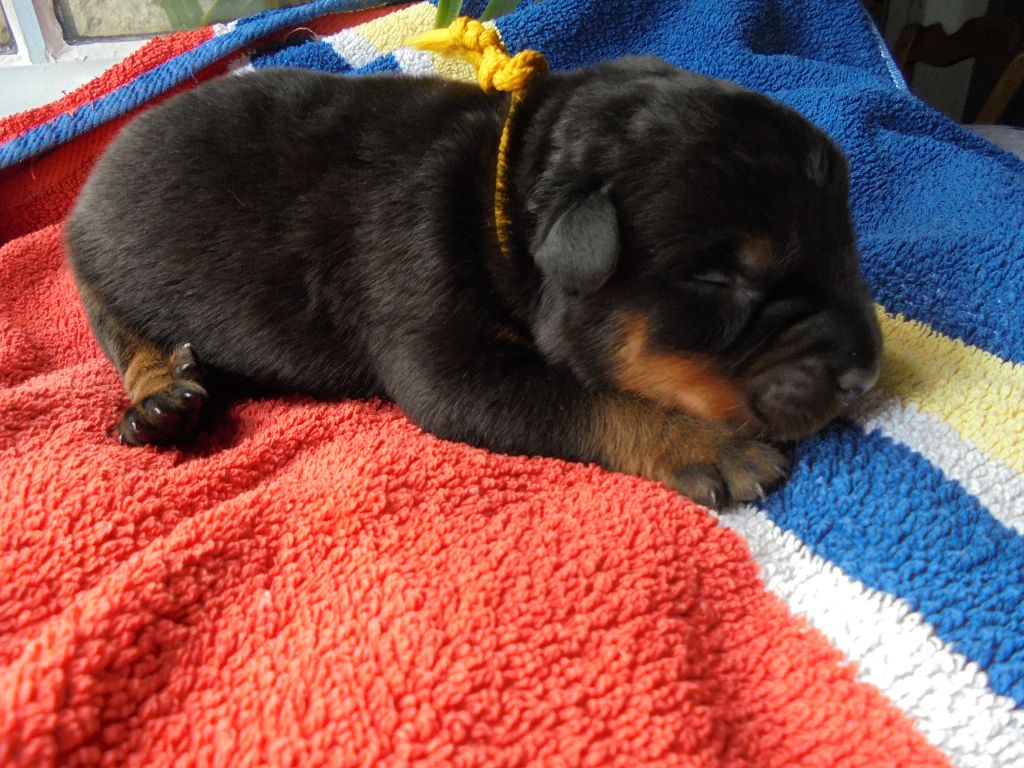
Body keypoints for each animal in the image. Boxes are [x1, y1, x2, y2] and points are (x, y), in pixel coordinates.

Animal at [64, 56, 882, 507]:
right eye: (724, 279)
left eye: (846, 243)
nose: (868, 373)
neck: (505, 199)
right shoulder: (440, 353)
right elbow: (584, 395)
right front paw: (711, 445)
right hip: (101, 271)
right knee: (130, 341)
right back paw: (163, 402)